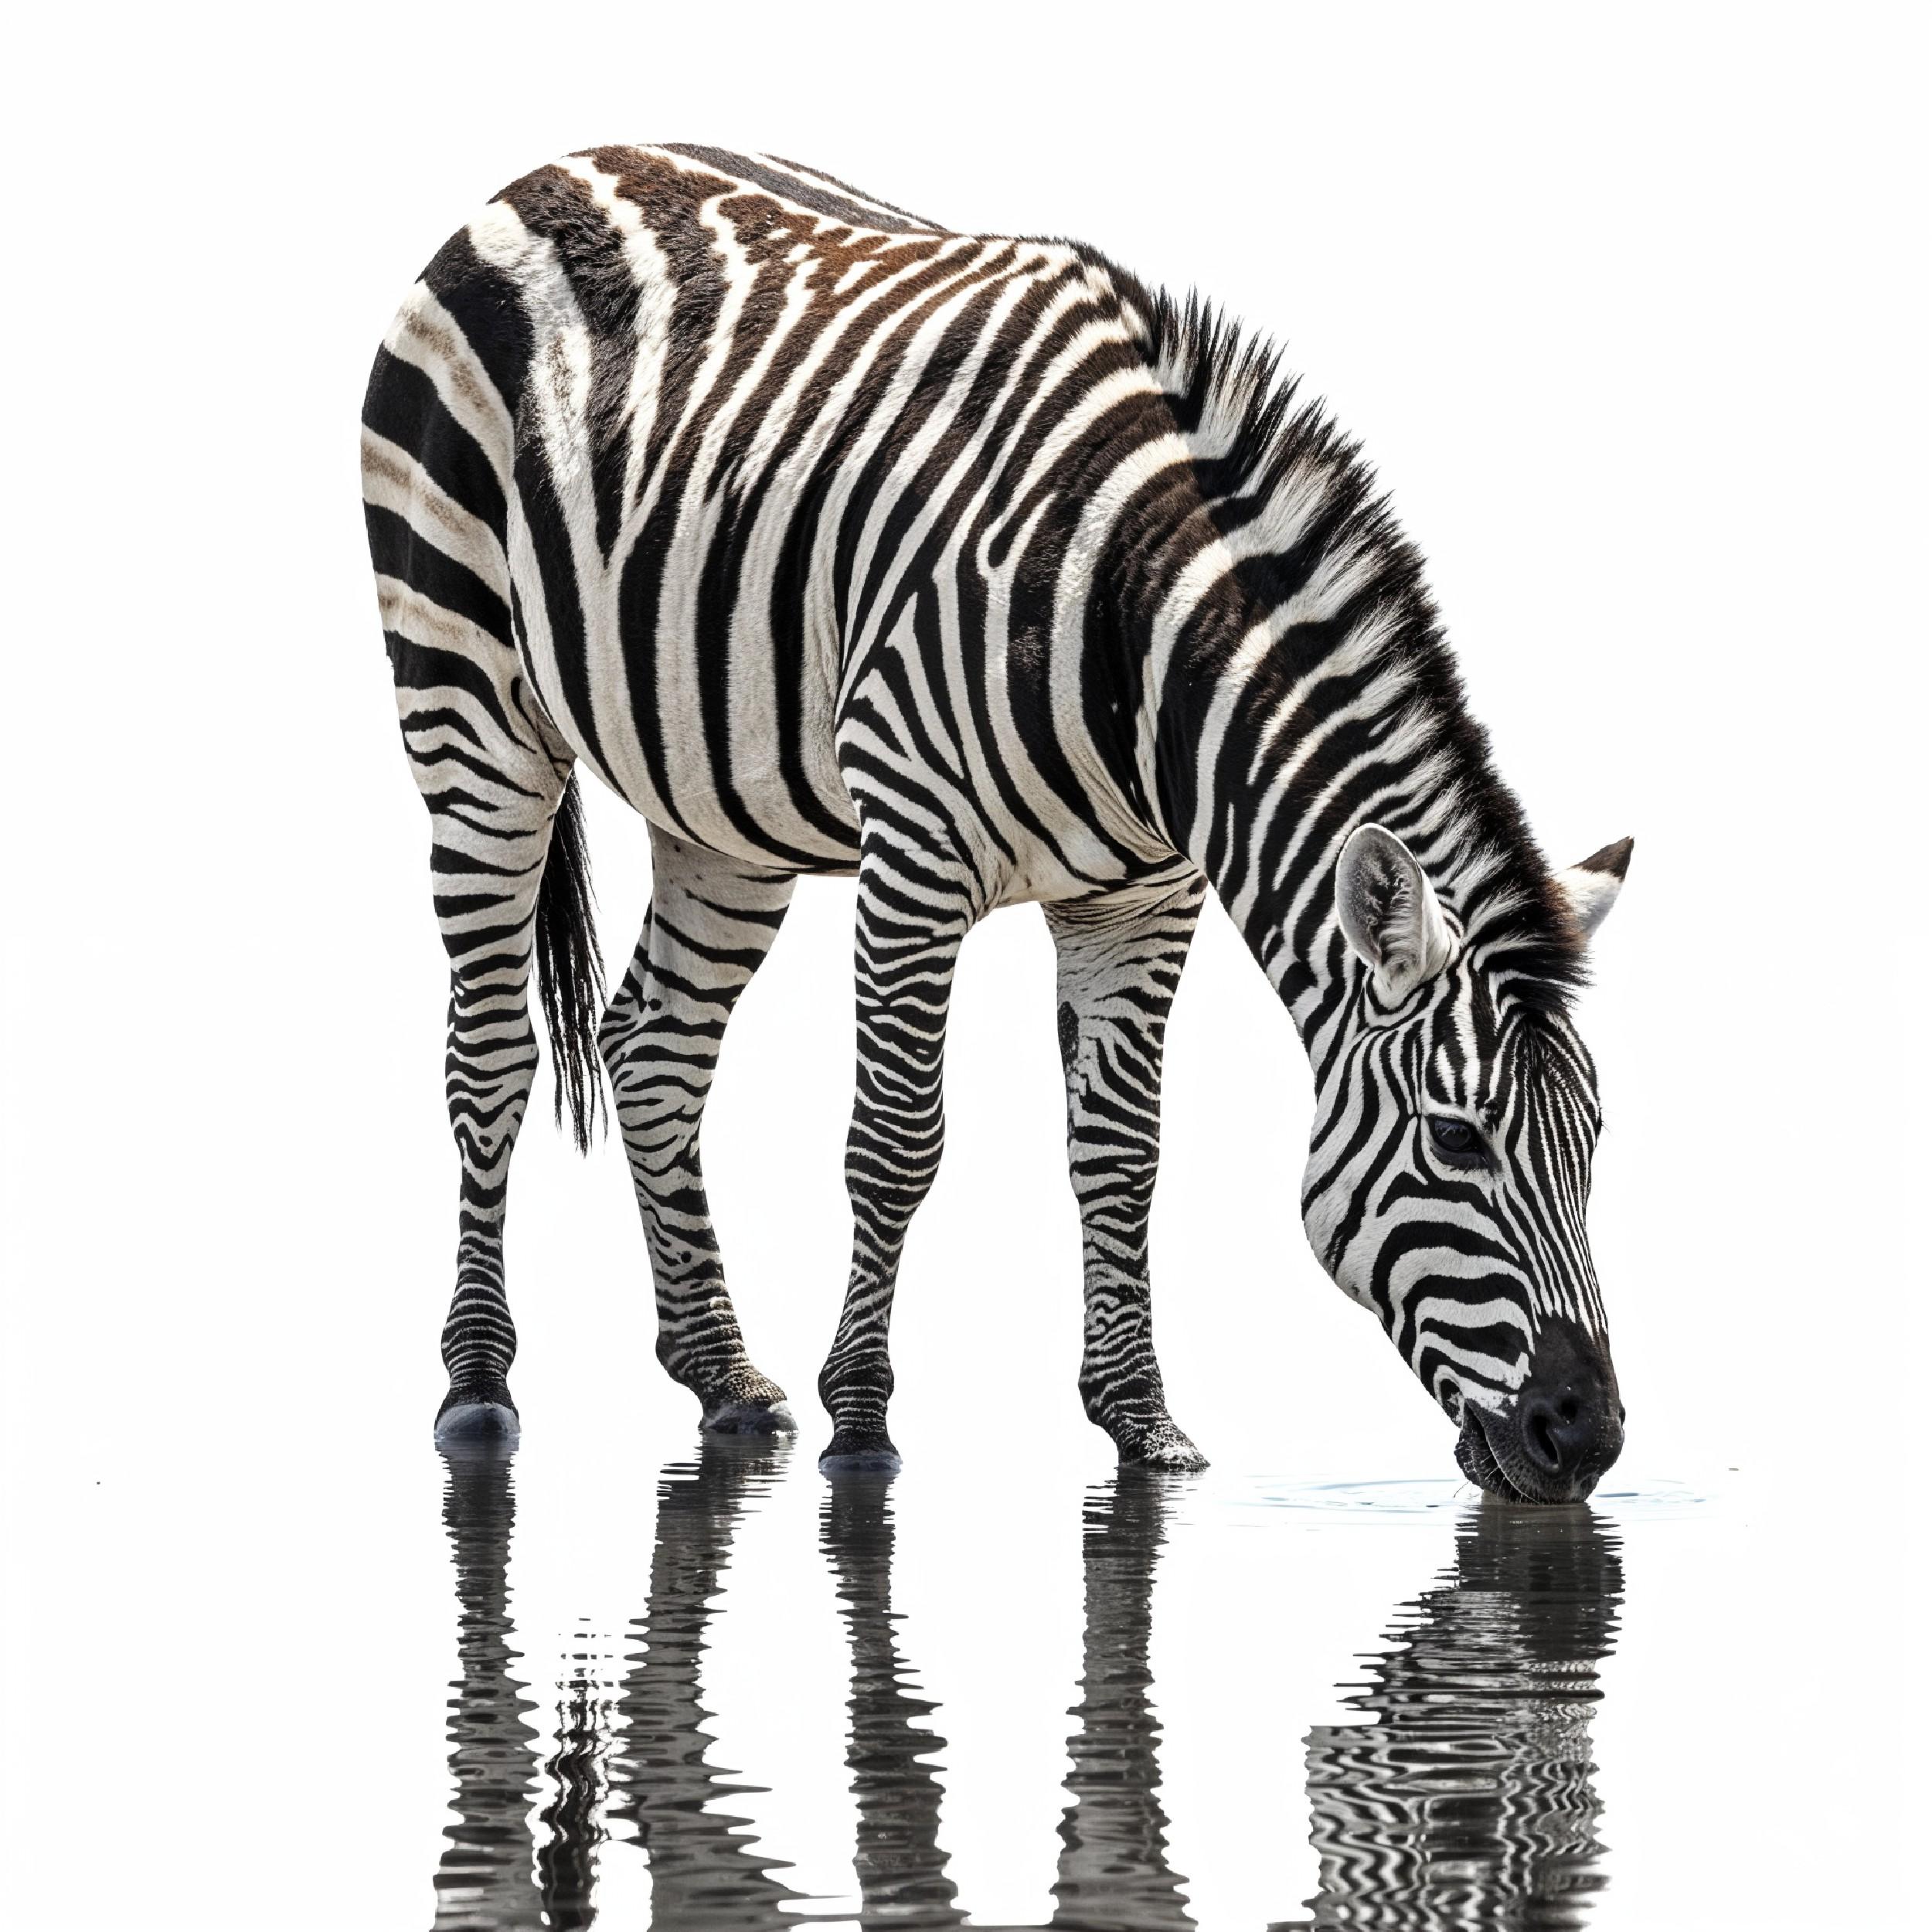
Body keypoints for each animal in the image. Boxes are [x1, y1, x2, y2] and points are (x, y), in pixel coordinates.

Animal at [361, 143, 1631, 1494]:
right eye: (1457, 1142)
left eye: (1593, 1142)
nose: (1587, 1436)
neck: (1134, 625)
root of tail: (555, 167)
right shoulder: (917, 849)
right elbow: (895, 1140)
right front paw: (864, 1420)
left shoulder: (1141, 896)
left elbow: (1122, 1154)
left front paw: (1144, 1425)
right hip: (466, 699)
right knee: (490, 1055)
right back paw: (478, 1387)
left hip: (721, 800)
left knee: (653, 1046)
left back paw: (724, 1375)